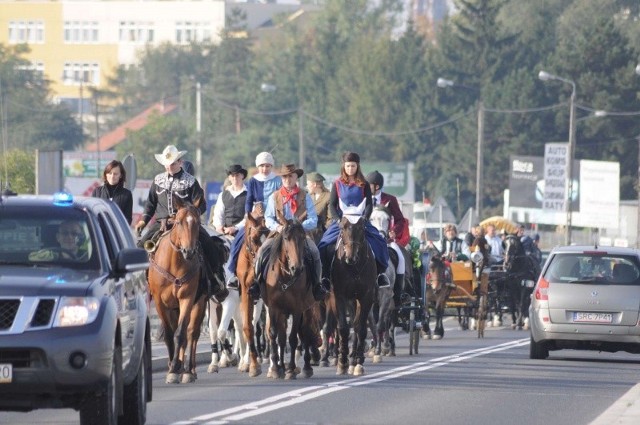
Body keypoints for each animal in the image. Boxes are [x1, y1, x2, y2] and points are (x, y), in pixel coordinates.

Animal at [147, 195, 205, 384]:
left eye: (197, 222)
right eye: (179, 222)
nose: (189, 251)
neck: (174, 263)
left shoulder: (187, 298)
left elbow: (180, 333)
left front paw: (175, 367)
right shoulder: (159, 302)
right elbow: (169, 334)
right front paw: (172, 368)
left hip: (199, 303)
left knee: (191, 333)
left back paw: (188, 370)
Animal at [262, 215, 318, 378]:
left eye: (302, 238)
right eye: (286, 238)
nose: (297, 268)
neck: (285, 276)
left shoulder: (297, 309)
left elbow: (293, 338)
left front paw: (291, 368)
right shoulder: (273, 308)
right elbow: (274, 334)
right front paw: (276, 368)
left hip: (308, 308)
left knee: (306, 332)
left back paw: (306, 367)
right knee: (282, 337)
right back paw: (281, 366)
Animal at [328, 215, 378, 374]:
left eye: (361, 228)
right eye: (343, 227)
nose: (350, 257)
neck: (354, 267)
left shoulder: (366, 297)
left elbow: (361, 328)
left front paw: (359, 363)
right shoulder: (339, 296)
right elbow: (343, 328)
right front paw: (342, 362)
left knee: (356, 325)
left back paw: (354, 359)